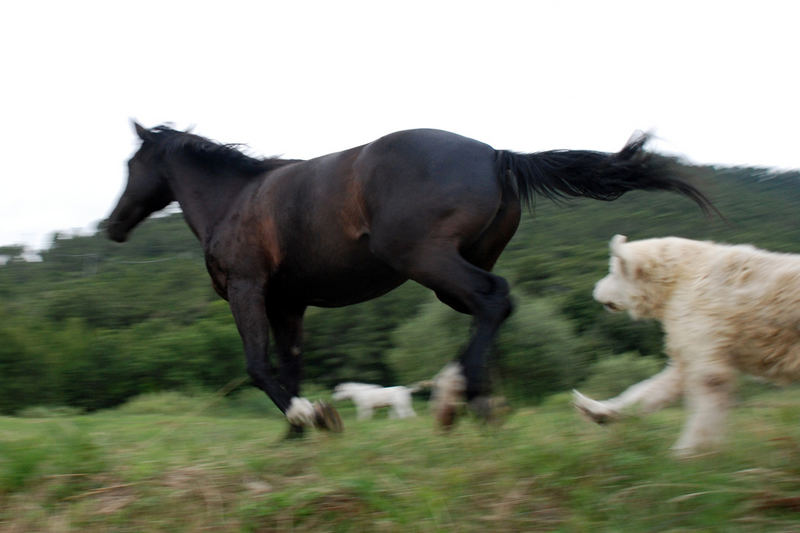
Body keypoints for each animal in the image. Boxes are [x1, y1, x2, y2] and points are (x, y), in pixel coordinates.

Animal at [104, 123, 712, 436]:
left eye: (131, 165)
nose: (111, 225)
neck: (237, 200)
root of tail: (497, 155)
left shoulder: (247, 289)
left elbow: (258, 366)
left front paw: (305, 417)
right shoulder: (290, 303)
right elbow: (290, 365)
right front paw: (305, 429)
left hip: (427, 260)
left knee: (494, 300)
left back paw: (459, 401)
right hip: (449, 271)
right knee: (495, 309)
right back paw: (475, 401)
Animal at [576, 235, 800, 456]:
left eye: (613, 272)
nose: (595, 290)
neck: (678, 279)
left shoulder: (705, 347)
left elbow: (707, 398)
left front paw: (689, 450)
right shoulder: (690, 348)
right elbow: (650, 390)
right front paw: (600, 412)